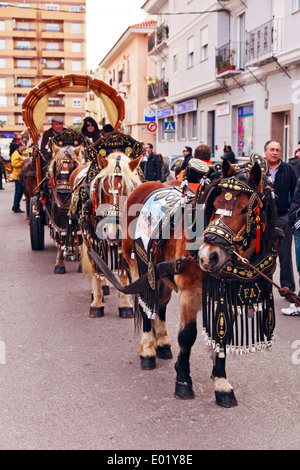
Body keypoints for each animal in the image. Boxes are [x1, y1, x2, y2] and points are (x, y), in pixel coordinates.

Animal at [122, 158, 278, 408]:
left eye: (245, 209)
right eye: (215, 203)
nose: (208, 256)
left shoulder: (228, 297)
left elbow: (222, 336)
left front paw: (221, 383)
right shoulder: (189, 293)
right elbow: (187, 336)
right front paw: (183, 381)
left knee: (160, 305)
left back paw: (162, 343)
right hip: (138, 265)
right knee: (147, 306)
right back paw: (147, 350)